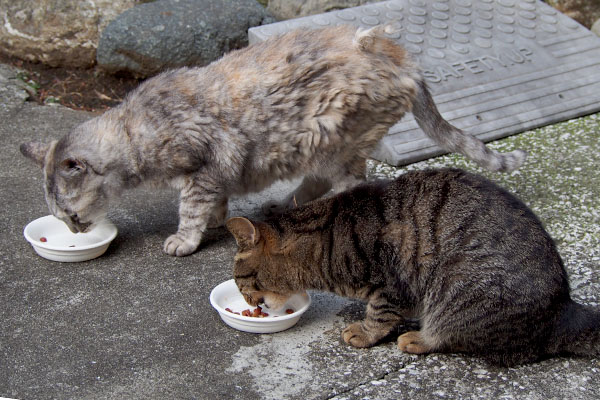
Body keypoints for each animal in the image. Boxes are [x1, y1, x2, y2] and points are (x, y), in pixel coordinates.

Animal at [18, 25, 524, 256]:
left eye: (70, 215)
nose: (75, 232)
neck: (132, 130)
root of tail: (400, 58)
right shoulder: (216, 171)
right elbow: (214, 203)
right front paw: (217, 221)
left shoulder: (204, 165)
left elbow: (191, 209)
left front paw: (185, 238)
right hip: (325, 142)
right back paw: (287, 203)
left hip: (334, 134)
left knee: (350, 183)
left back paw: (313, 208)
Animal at [226, 169, 600, 366]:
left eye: (242, 282)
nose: (248, 303)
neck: (324, 242)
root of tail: (564, 309)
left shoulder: (391, 282)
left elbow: (379, 314)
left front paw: (364, 332)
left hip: (458, 290)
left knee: (458, 337)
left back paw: (418, 338)